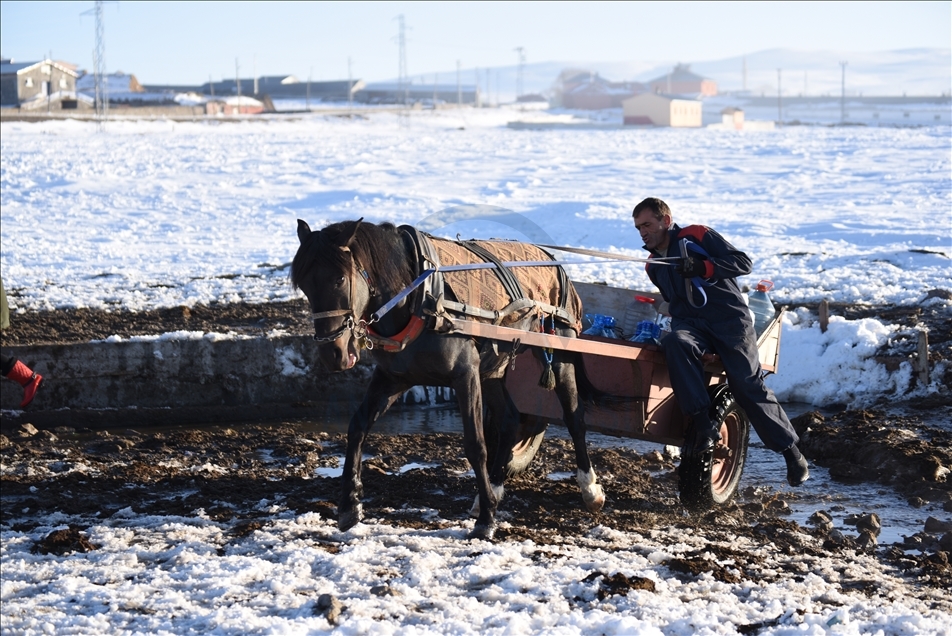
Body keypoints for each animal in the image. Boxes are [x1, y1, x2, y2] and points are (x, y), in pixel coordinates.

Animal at [290, 220, 604, 540]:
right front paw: (349, 506)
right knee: (509, 419)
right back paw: (495, 487)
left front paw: (487, 520)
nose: (333, 354)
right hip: (492, 369)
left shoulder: (465, 376)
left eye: (340, 279)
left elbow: (476, 445)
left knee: (573, 417)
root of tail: (552, 259)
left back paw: (589, 487)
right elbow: (357, 427)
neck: (417, 296)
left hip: (559, 353)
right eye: (303, 285)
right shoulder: (394, 377)